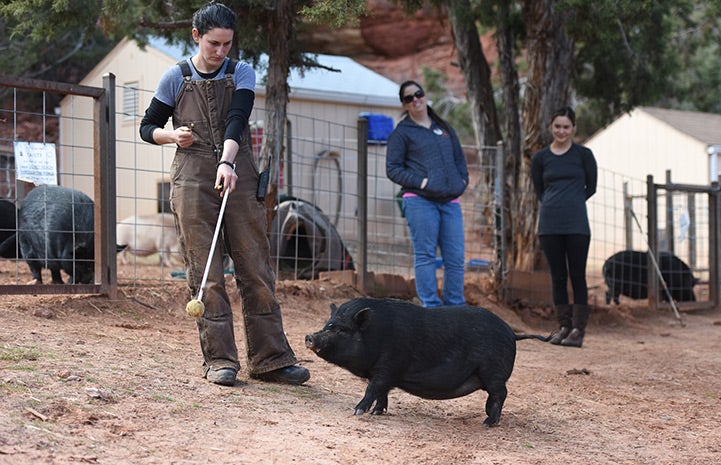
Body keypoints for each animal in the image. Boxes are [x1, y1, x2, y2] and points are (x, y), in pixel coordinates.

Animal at [305, 297, 548, 427]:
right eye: (327, 324)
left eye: (341, 329)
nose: (310, 336)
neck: (376, 334)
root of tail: (512, 333)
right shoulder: (381, 372)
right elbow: (381, 392)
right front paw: (377, 412)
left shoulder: (389, 365)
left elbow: (373, 389)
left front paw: (357, 411)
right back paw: (487, 416)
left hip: (493, 371)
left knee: (501, 393)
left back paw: (488, 422)